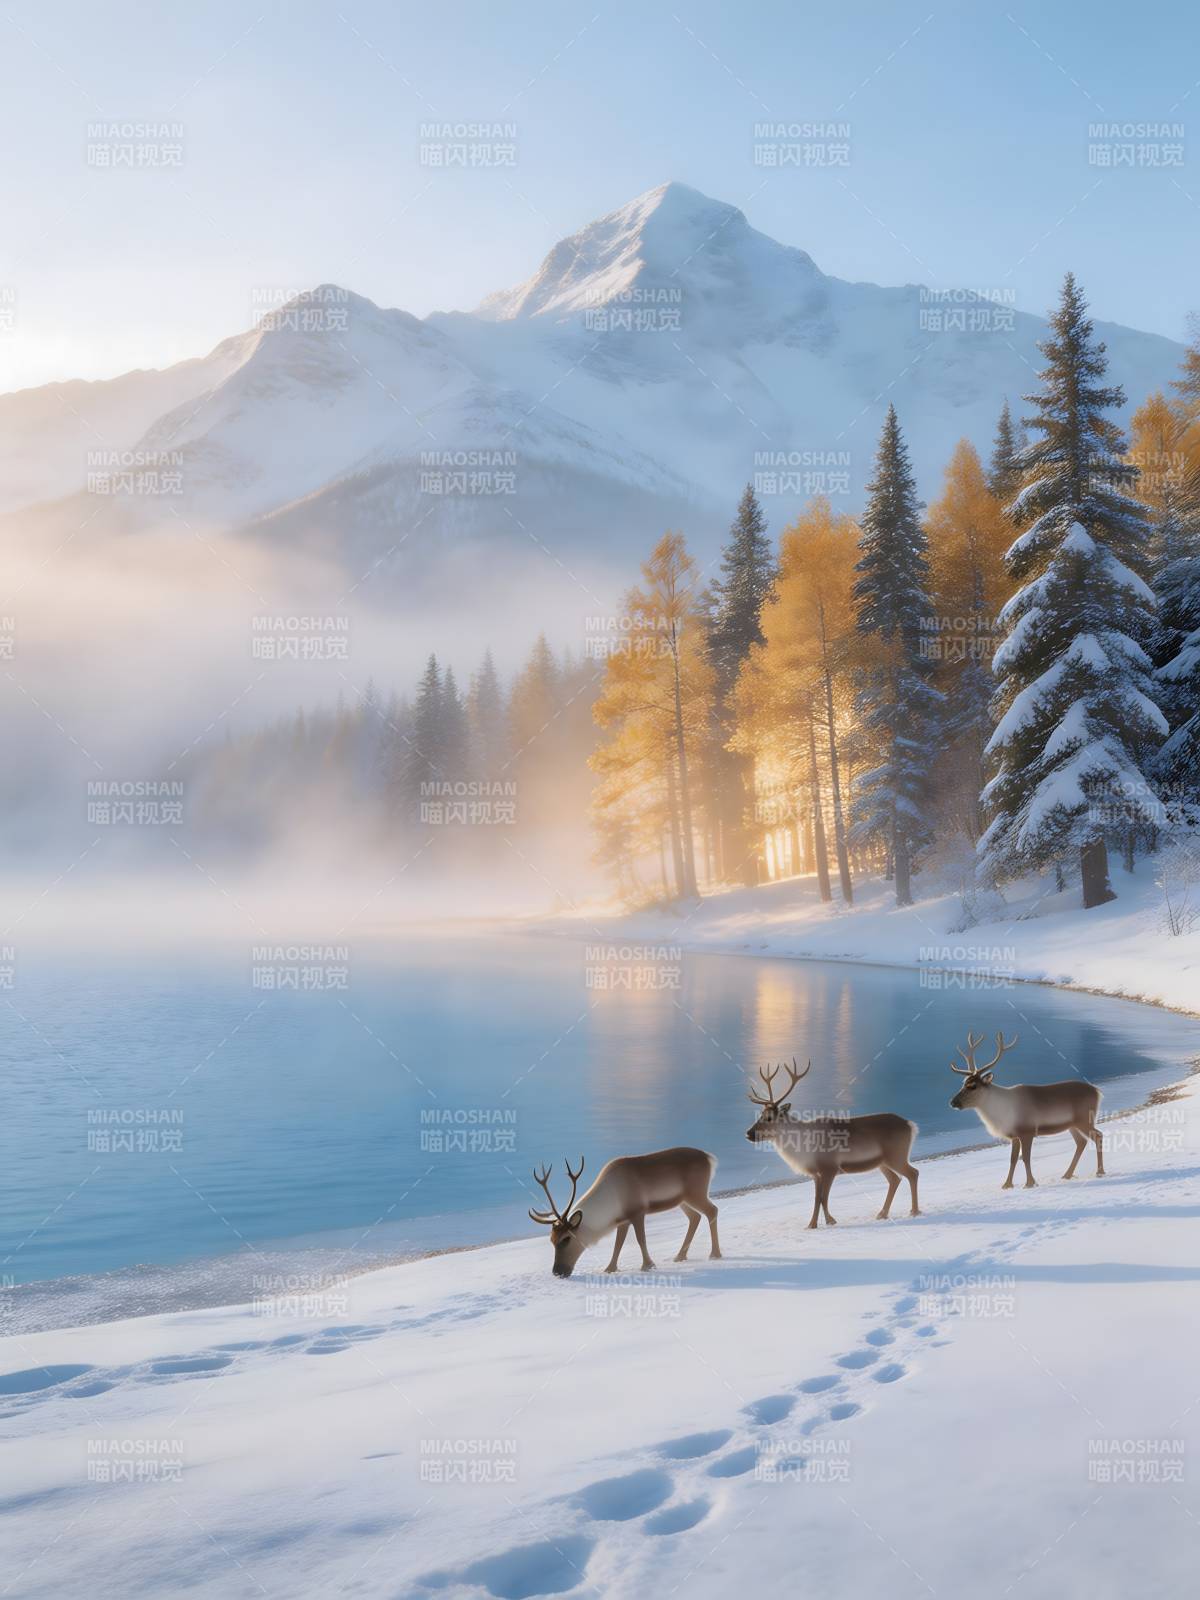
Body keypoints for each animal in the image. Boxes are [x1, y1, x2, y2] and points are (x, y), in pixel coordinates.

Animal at [527, 1150, 721, 1278]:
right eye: (551, 1239)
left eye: (566, 1238)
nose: (557, 1272)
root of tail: (710, 1159)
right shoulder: (622, 1220)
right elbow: (618, 1245)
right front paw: (609, 1269)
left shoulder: (638, 1212)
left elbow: (641, 1239)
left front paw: (648, 1265)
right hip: (682, 1201)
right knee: (695, 1217)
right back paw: (680, 1256)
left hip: (696, 1193)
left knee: (712, 1211)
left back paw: (715, 1254)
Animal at [744, 1059, 920, 1228]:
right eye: (760, 1115)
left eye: (769, 1118)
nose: (748, 1133)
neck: (803, 1147)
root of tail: (910, 1125)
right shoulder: (816, 1173)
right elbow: (817, 1198)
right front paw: (813, 1224)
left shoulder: (830, 1168)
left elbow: (823, 1198)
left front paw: (827, 1222)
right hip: (882, 1162)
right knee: (895, 1179)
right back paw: (882, 1214)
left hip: (896, 1156)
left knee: (913, 1173)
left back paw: (914, 1211)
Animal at [948, 1030, 1104, 1187]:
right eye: (963, 1083)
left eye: (973, 1086)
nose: (953, 1102)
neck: (1002, 1112)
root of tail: (1098, 1091)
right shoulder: (1015, 1135)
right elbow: (1013, 1159)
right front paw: (1007, 1185)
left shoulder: (1027, 1131)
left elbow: (1025, 1158)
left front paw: (1030, 1183)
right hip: (1072, 1125)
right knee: (1081, 1142)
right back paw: (1067, 1175)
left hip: (1084, 1119)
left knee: (1098, 1135)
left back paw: (1100, 1172)